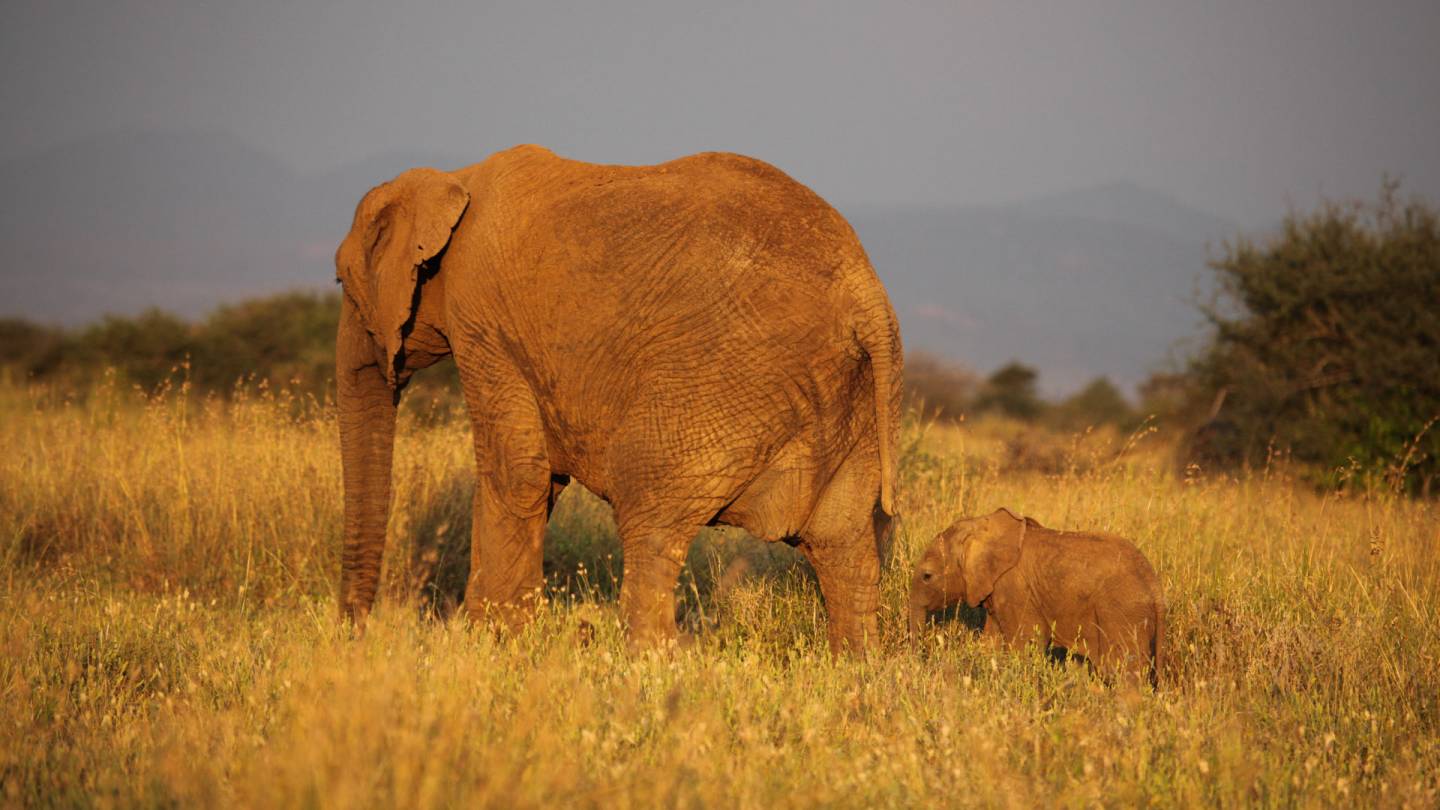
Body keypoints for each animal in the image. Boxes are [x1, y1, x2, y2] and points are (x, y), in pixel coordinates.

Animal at [334, 145, 902, 651]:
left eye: (340, 281)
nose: (355, 636)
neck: (454, 179)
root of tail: (867, 295)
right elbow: (541, 478)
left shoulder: (482, 321)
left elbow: (517, 472)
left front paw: (492, 645)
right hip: (849, 394)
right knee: (844, 545)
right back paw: (855, 666)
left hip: (720, 380)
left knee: (649, 516)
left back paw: (647, 663)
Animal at [909, 508, 1165, 686]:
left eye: (927, 576)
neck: (982, 526)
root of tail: (1155, 587)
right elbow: (991, 643)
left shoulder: (1015, 588)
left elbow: (1028, 642)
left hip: (1121, 611)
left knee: (1123, 672)